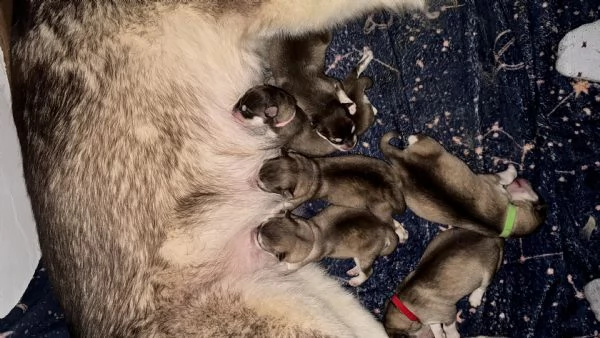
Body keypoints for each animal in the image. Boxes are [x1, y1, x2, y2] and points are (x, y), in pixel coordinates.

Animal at [256, 205, 400, 286]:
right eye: (264, 223)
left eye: (261, 243)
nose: (256, 229)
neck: (310, 237)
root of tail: (383, 226)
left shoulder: (293, 265)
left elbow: (284, 268)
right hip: (359, 256)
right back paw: (354, 271)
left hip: (364, 256)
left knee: (368, 272)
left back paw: (356, 281)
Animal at [258, 152, 408, 239]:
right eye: (264, 164)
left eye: (264, 186)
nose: (255, 180)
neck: (306, 171)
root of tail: (387, 184)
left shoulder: (297, 199)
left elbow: (283, 205)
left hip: (378, 209)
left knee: (389, 221)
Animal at [380, 132, 548, 238]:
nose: (528, 181)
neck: (504, 223)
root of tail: (402, 159)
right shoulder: (491, 179)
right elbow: (507, 176)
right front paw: (512, 169)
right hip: (432, 145)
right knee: (416, 138)